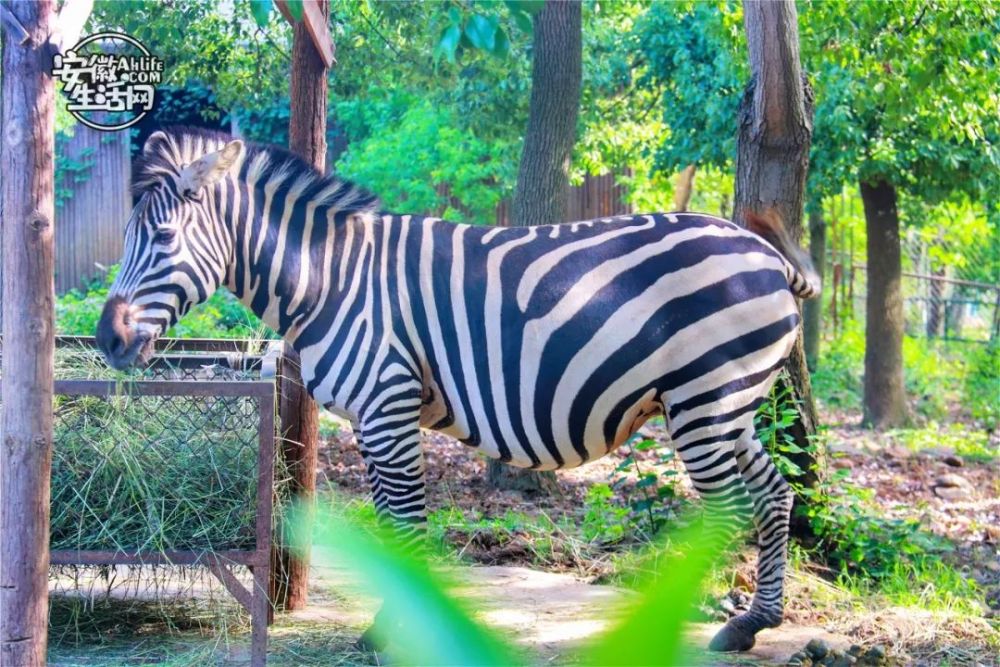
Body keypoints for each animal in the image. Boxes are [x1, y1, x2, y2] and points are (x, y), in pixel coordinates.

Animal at [99, 128, 820, 656]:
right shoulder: (369, 419)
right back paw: (752, 622)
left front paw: (397, 631)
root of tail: (766, 254)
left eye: (162, 237)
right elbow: (392, 527)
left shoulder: (387, 407)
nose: (107, 340)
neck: (329, 279)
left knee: (732, 507)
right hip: (729, 407)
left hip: (704, 400)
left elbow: (408, 523)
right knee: (774, 493)